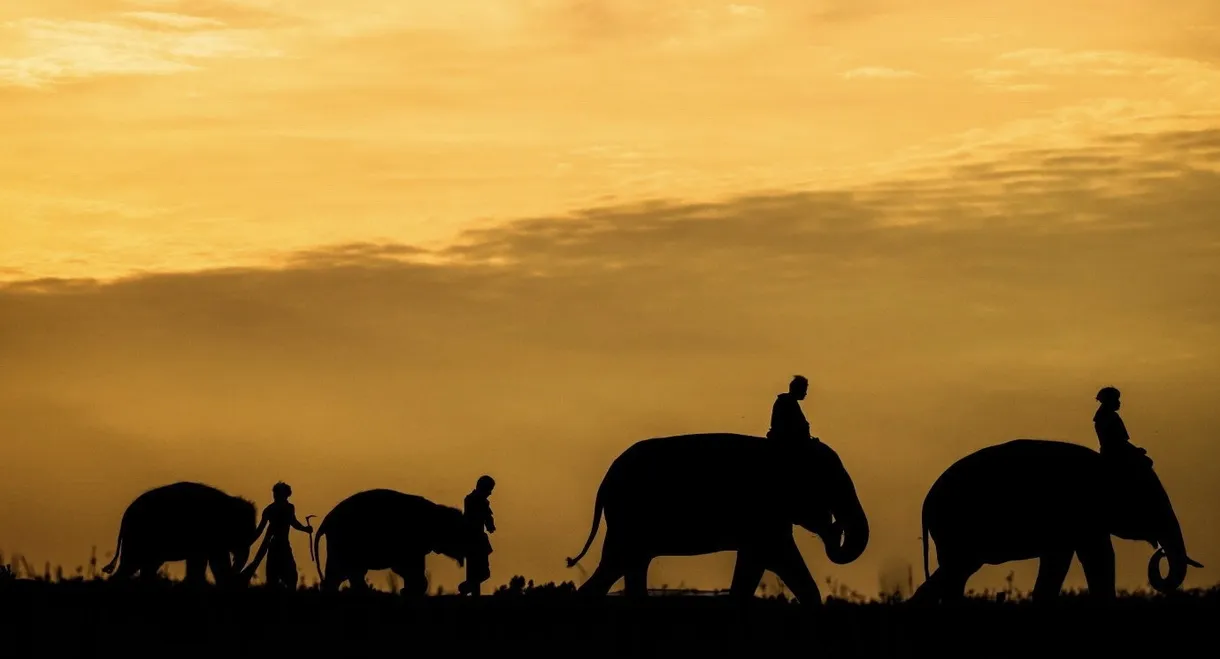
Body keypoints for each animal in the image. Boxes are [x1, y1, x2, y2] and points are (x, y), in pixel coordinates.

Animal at [101, 481, 259, 587]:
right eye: (241, 532)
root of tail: (125, 515)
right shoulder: (206, 531)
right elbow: (210, 560)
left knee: (146, 567)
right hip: (138, 536)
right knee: (131, 564)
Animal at [312, 489, 473, 594]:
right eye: (461, 531)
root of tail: (325, 521)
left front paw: (408, 590)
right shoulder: (411, 542)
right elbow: (407, 566)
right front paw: (408, 590)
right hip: (343, 540)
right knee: (344, 571)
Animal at [564, 433, 870, 604]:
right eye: (831, 485)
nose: (833, 527)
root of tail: (605, 482)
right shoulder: (763, 514)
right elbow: (771, 558)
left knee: (627, 566)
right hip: (629, 519)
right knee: (616, 565)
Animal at [911, 439, 1204, 603]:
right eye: (1151, 497)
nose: (1161, 551)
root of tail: (926, 502)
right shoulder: (1077, 515)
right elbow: (1096, 558)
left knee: (952, 576)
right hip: (955, 530)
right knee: (954, 573)